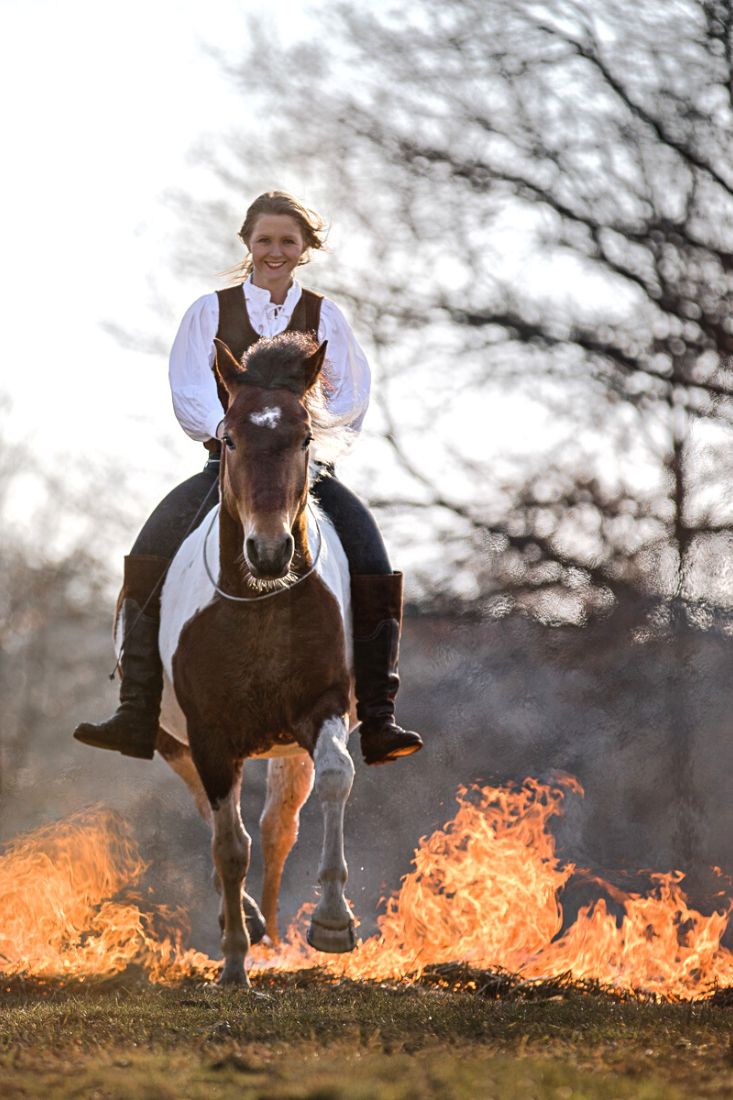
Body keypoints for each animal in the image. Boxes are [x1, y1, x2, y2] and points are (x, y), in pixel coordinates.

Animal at [150, 330, 354, 985]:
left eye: (305, 438)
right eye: (231, 437)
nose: (269, 551)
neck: (260, 604)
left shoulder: (322, 707)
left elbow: (336, 778)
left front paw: (332, 921)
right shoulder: (210, 737)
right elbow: (228, 845)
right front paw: (235, 964)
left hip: (285, 747)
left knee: (277, 826)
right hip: (177, 742)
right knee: (220, 823)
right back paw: (243, 920)